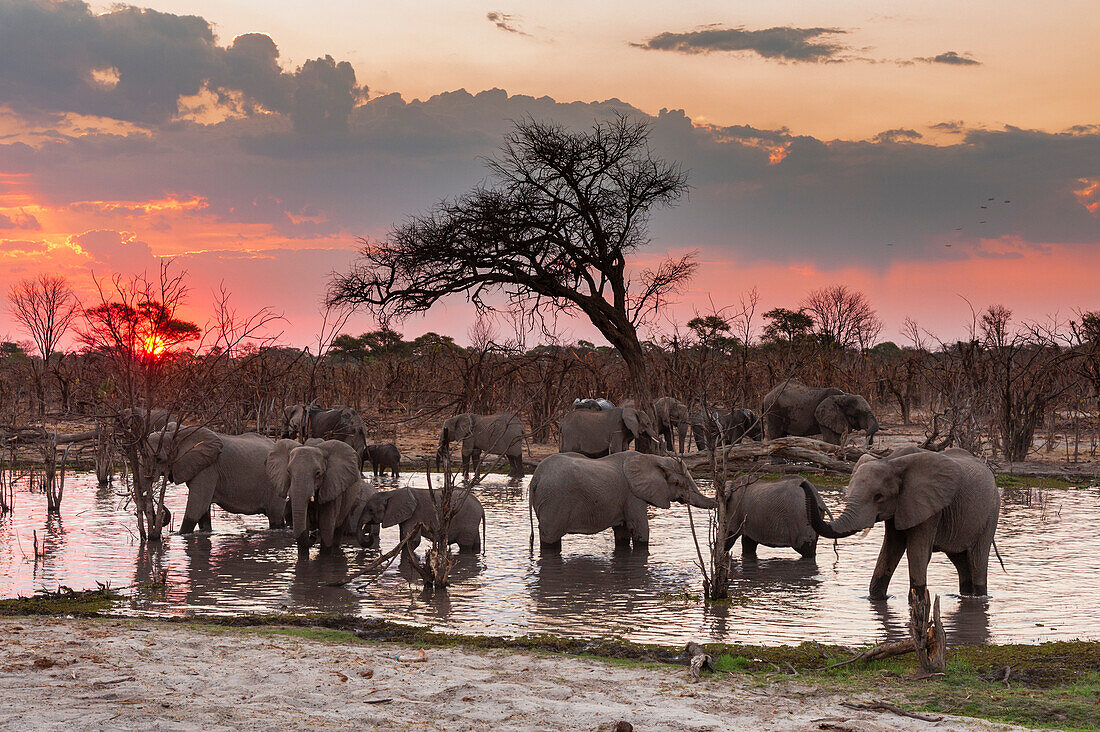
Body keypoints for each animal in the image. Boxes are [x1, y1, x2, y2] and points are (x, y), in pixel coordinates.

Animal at [144, 422, 281, 530]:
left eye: (159, 459)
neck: (178, 434)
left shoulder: (208, 469)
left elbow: (197, 508)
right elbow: (204, 512)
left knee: (275, 516)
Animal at [528, 449, 717, 550]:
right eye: (677, 483)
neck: (651, 457)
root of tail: (536, 478)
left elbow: (622, 533)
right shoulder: (633, 495)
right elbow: (640, 529)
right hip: (554, 501)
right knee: (550, 539)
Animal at [805, 444, 1003, 598]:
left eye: (878, 496)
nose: (804, 483)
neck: (891, 461)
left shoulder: (929, 507)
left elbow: (917, 551)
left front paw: (918, 599)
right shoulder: (901, 507)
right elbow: (891, 549)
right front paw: (875, 598)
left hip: (991, 512)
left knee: (977, 559)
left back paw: (979, 596)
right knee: (960, 560)